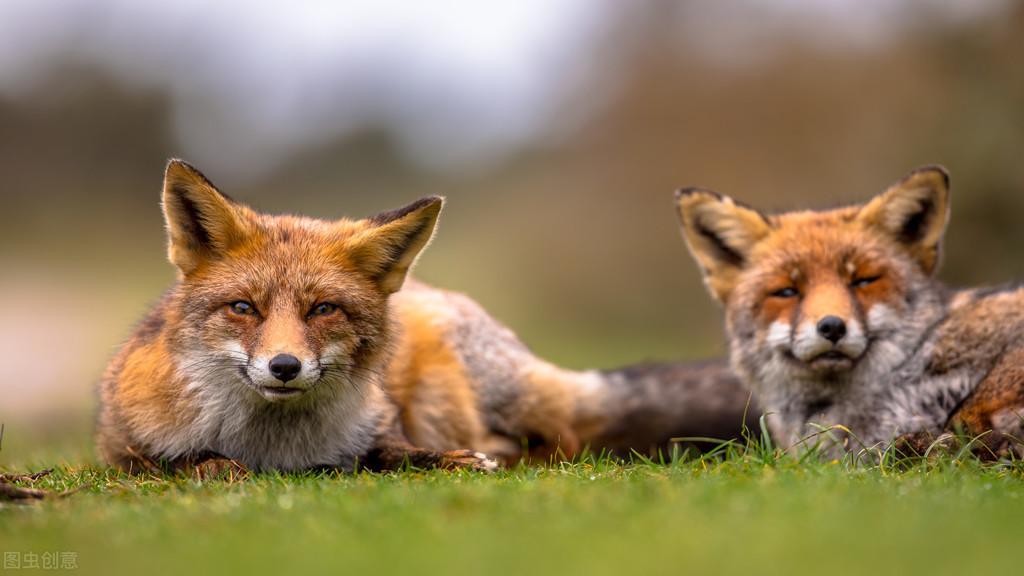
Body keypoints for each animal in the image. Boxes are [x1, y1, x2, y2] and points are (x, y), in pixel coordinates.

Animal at [96, 156, 753, 471]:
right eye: (243, 308)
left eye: (324, 309)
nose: (284, 366)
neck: (276, 449)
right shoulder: (121, 446)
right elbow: (195, 465)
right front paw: (219, 465)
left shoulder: (382, 423)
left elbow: (392, 453)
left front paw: (449, 462)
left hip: (456, 393)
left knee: (556, 441)